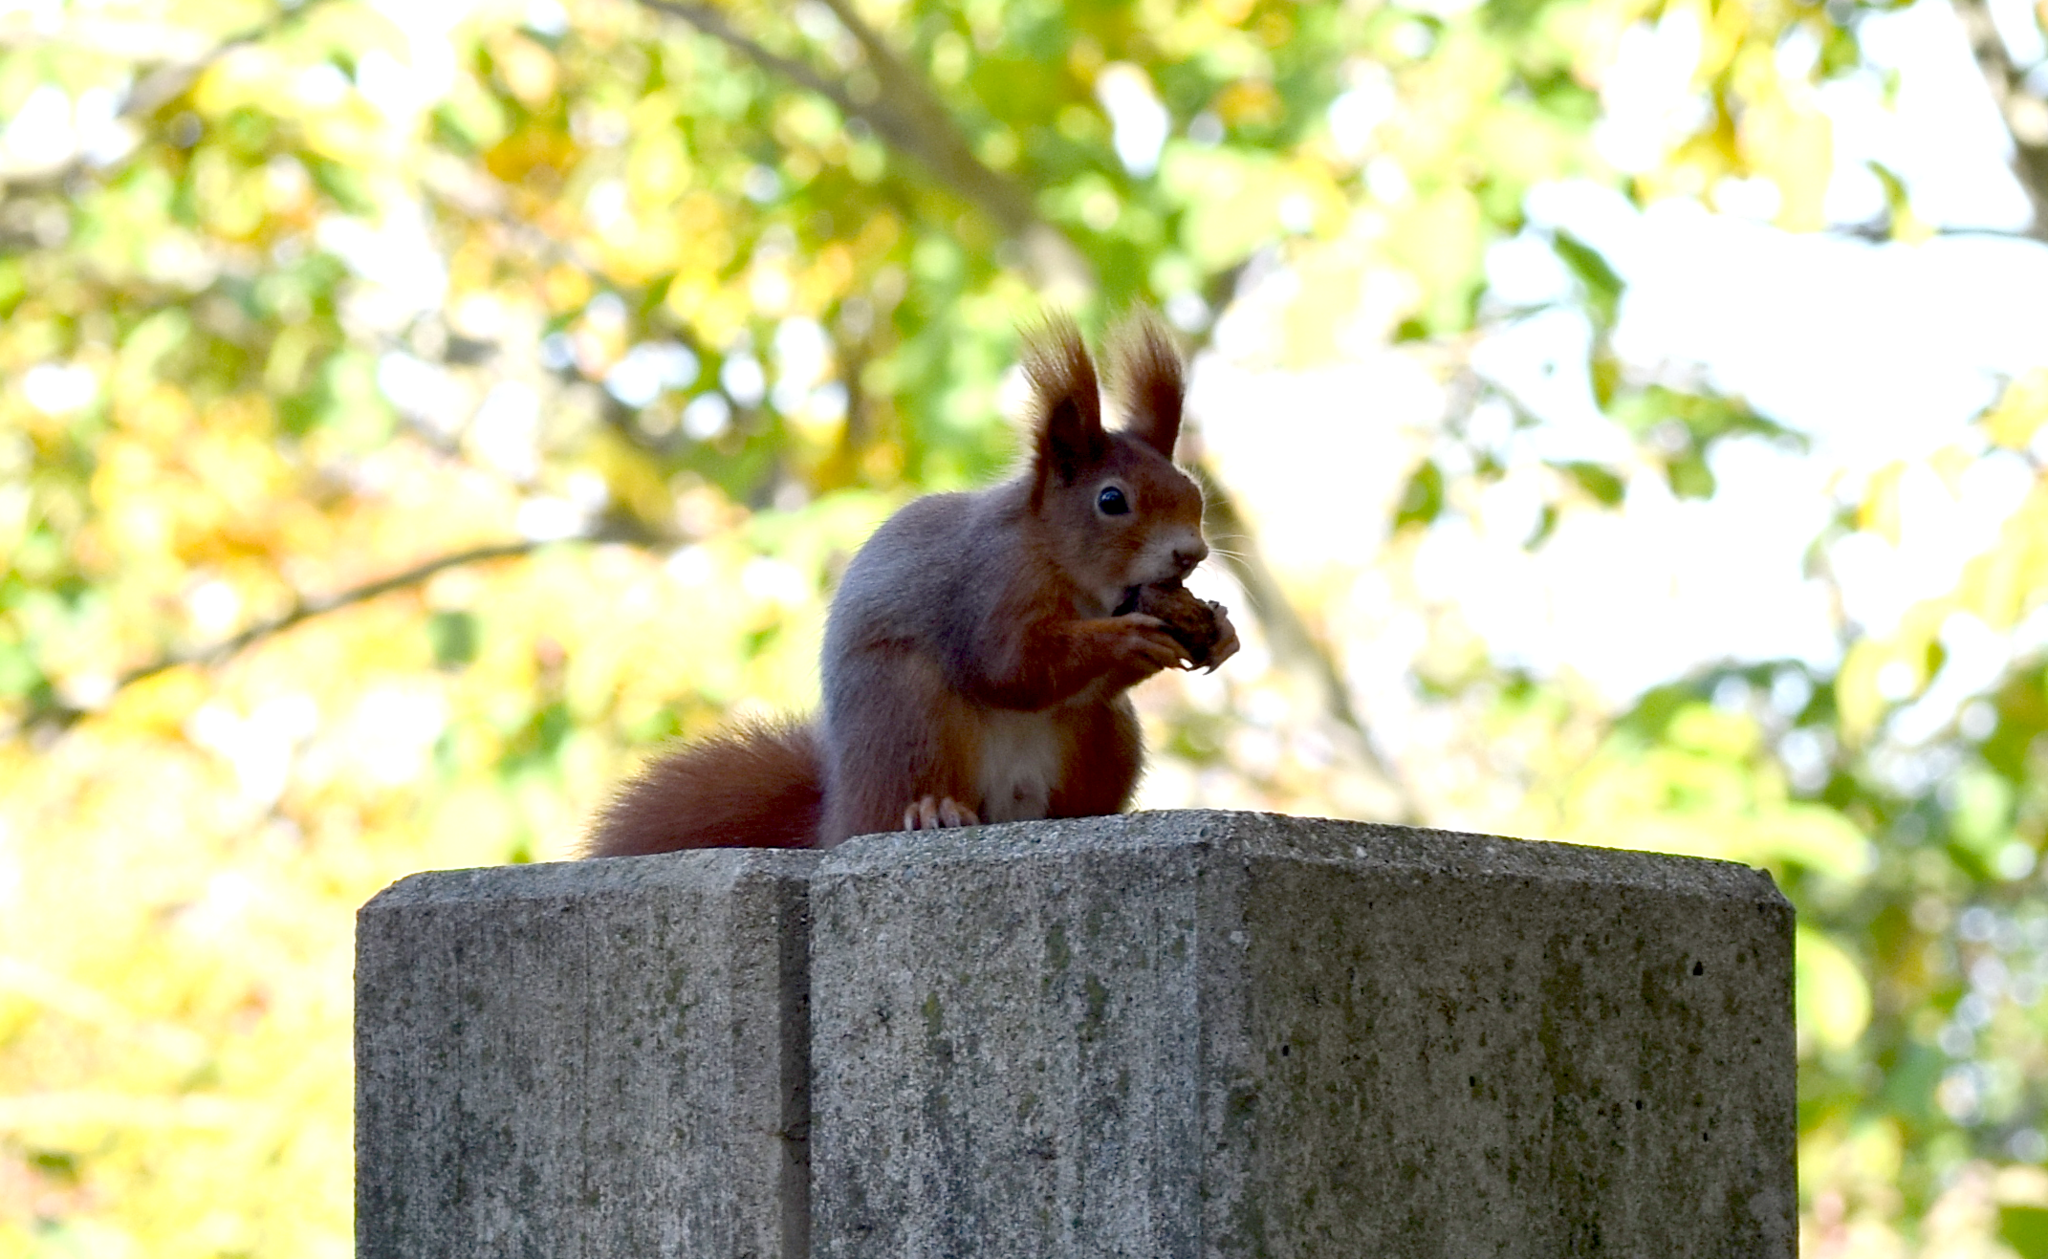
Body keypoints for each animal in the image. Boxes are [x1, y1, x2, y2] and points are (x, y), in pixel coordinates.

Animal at [586, 311, 1238, 856]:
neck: (1068, 570)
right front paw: (1131, 639)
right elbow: (1010, 666)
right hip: (909, 712)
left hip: (1108, 736)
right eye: (1111, 501)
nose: (1192, 552)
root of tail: (839, 818)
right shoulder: (988, 584)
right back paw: (933, 811)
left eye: (1193, 492)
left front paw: (1221, 630)